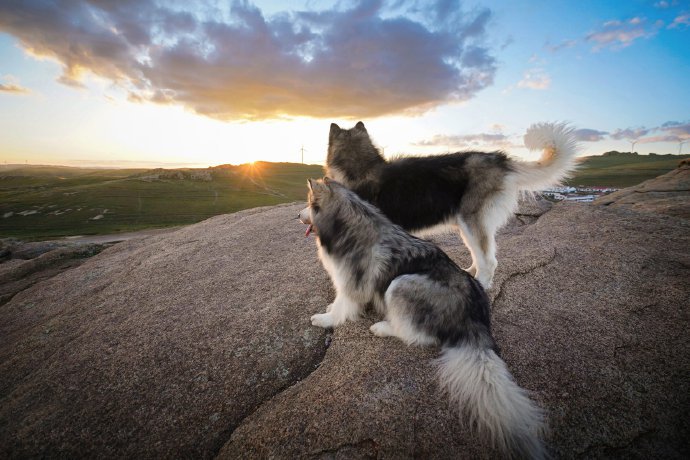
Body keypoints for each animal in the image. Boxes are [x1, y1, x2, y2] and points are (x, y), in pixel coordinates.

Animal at [298, 177, 544, 460]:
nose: (297, 215)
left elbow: (342, 306)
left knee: (416, 334)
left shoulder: (350, 282)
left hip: (400, 284)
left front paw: (325, 318)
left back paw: (384, 327)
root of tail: (473, 318)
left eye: (307, 204)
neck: (347, 219)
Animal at [322, 122, 576, 288]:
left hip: (472, 221)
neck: (362, 167)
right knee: (478, 256)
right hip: (466, 225)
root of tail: (499, 159)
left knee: (489, 261)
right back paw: (469, 273)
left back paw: (481, 285)